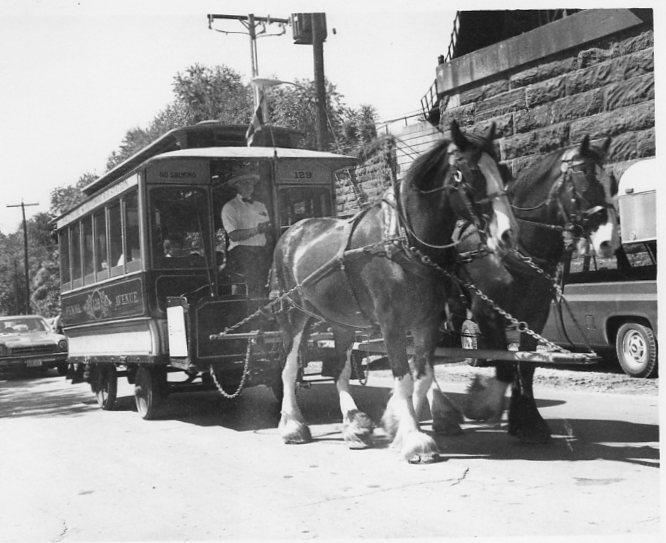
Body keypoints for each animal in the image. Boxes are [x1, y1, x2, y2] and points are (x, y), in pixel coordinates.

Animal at [272, 122, 516, 464]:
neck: (404, 243)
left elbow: (422, 376)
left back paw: (353, 427)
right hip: (294, 315)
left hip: (341, 321)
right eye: (468, 173)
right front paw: (414, 439)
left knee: (340, 369)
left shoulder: (428, 323)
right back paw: (293, 425)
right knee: (289, 367)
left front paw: (397, 424)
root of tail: (292, 231)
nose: (507, 233)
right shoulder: (392, 325)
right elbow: (403, 377)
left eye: (502, 171)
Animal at [456, 134, 616, 444]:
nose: (608, 241)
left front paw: (528, 421)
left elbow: (526, 364)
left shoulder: (535, 315)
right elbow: (505, 363)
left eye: (612, 182)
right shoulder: (486, 313)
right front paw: (484, 404)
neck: (511, 252)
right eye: (585, 177)